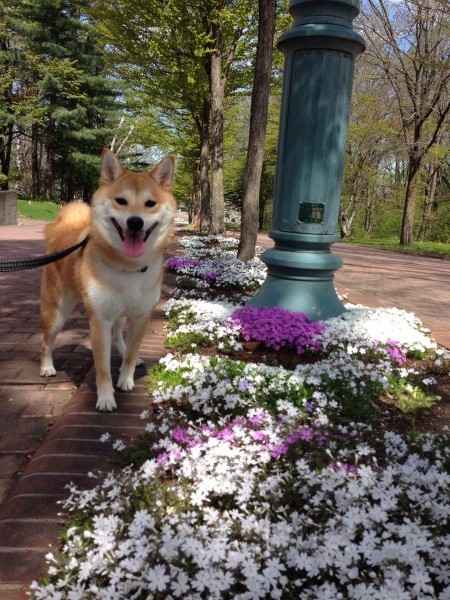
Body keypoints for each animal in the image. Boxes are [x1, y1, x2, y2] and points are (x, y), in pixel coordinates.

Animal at [40, 150, 177, 412]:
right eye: (121, 201)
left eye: (150, 204)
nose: (135, 222)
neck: (129, 268)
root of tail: (61, 230)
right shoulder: (99, 320)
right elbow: (102, 367)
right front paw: (105, 398)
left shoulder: (141, 315)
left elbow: (131, 351)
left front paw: (126, 377)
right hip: (57, 313)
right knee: (46, 341)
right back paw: (46, 366)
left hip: (121, 312)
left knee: (119, 335)